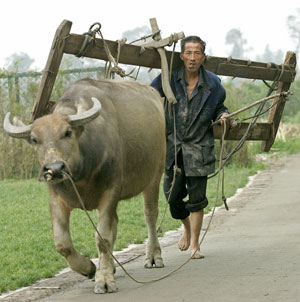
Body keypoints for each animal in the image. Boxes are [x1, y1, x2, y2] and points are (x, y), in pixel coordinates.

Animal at [2, 78, 166, 292]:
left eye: (67, 132)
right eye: (35, 139)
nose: (55, 168)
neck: (81, 174)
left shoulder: (110, 191)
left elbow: (102, 238)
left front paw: (104, 279)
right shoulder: (57, 198)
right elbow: (62, 243)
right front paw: (89, 268)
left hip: (155, 175)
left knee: (150, 215)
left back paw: (153, 255)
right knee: (116, 224)